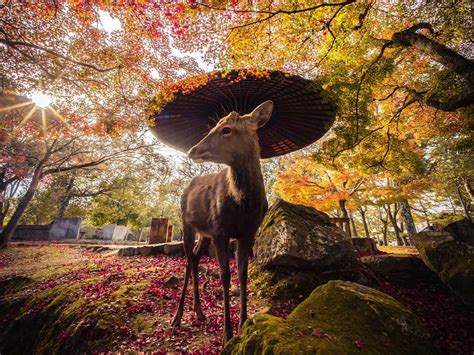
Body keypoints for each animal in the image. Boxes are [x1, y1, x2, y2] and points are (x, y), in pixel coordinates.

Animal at [171, 101, 274, 346]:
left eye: (226, 129)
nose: (192, 150)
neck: (242, 206)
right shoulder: (220, 231)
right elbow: (225, 276)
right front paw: (227, 334)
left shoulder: (247, 234)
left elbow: (243, 274)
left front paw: (243, 324)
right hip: (186, 224)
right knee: (187, 260)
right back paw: (177, 317)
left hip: (204, 233)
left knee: (195, 258)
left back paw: (199, 311)